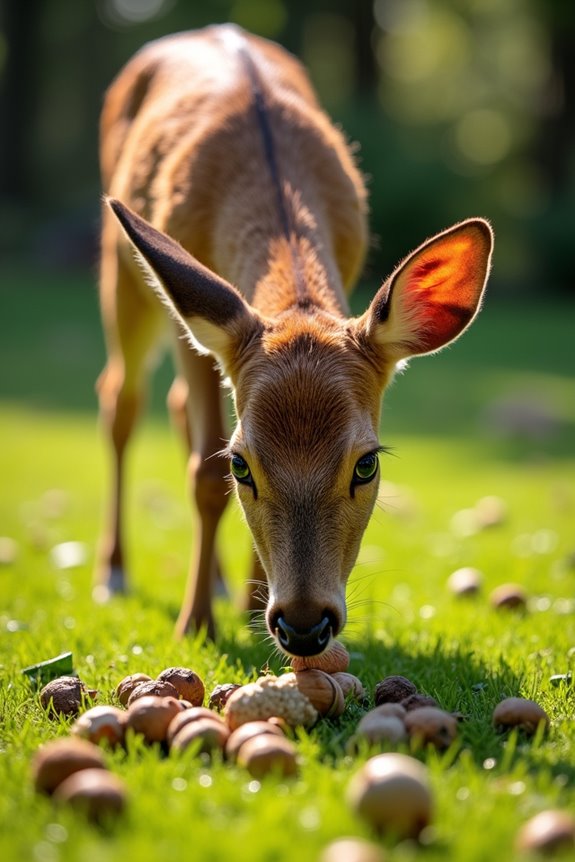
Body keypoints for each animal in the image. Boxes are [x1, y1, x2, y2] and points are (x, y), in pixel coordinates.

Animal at [95, 24, 493, 658]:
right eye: (241, 465)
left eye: (367, 465)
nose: (304, 624)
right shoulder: (194, 330)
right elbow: (202, 474)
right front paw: (195, 625)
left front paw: (250, 603)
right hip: (124, 271)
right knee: (120, 398)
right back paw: (113, 574)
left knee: (172, 405)